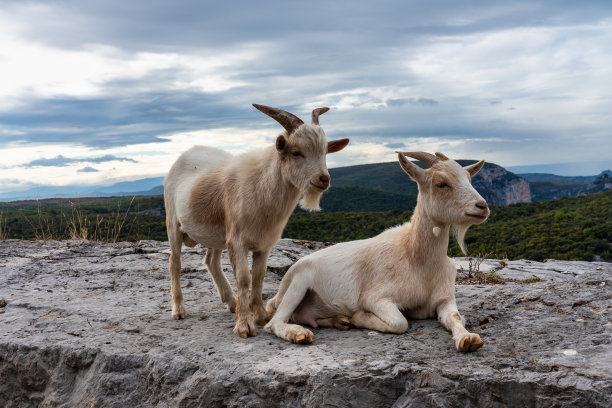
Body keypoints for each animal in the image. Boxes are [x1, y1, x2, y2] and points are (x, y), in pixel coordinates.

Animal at [165, 104, 350, 338]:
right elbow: (244, 278)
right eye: (296, 152)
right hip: (173, 223)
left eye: (325, 152)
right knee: (175, 262)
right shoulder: (237, 241)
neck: (261, 188)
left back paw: (231, 302)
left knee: (211, 261)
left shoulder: (264, 244)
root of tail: (184, 155)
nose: (323, 179)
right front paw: (244, 325)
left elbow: (259, 277)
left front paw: (260, 316)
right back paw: (179, 310)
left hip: (217, 234)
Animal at [266, 151, 490, 352]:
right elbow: (400, 322)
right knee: (274, 323)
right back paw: (299, 333)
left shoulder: (444, 298)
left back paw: (339, 321)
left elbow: (455, 317)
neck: (416, 258)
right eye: (441, 183)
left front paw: (468, 339)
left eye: (469, 179)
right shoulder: (375, 298)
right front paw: (359, 317)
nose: (482, 206)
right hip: (298, 283)